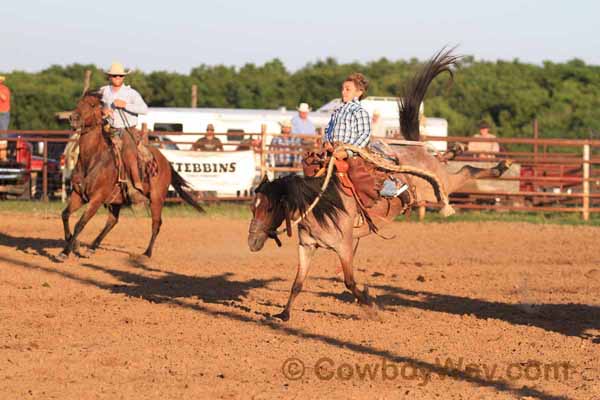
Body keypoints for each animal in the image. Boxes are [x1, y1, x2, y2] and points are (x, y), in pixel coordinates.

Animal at [59, 90, 204, 260]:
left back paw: (147, 253)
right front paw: (74, 244)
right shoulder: (78, 194)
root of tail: (165, 162)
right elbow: (65, 215)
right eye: (79, 102)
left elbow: (80, 223)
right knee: (112, 221)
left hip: (156, 199)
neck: (92, 159)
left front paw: (65, 252)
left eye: (93, 104)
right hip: (116, 200)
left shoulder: (97, 198)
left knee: (156, 223)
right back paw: (92, 248)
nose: (73, 118)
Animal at [246, 48, 508, 320]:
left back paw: (500, 166)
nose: (252, 243)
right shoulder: (307, 246)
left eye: (268, 207)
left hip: (439, 185)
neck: (320, 205)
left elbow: (350, 282)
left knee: (466, 170)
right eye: (252, 207)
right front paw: (283, 314)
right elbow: (297, 283)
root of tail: (414, 147)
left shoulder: (344, 247)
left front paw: (371, 305)